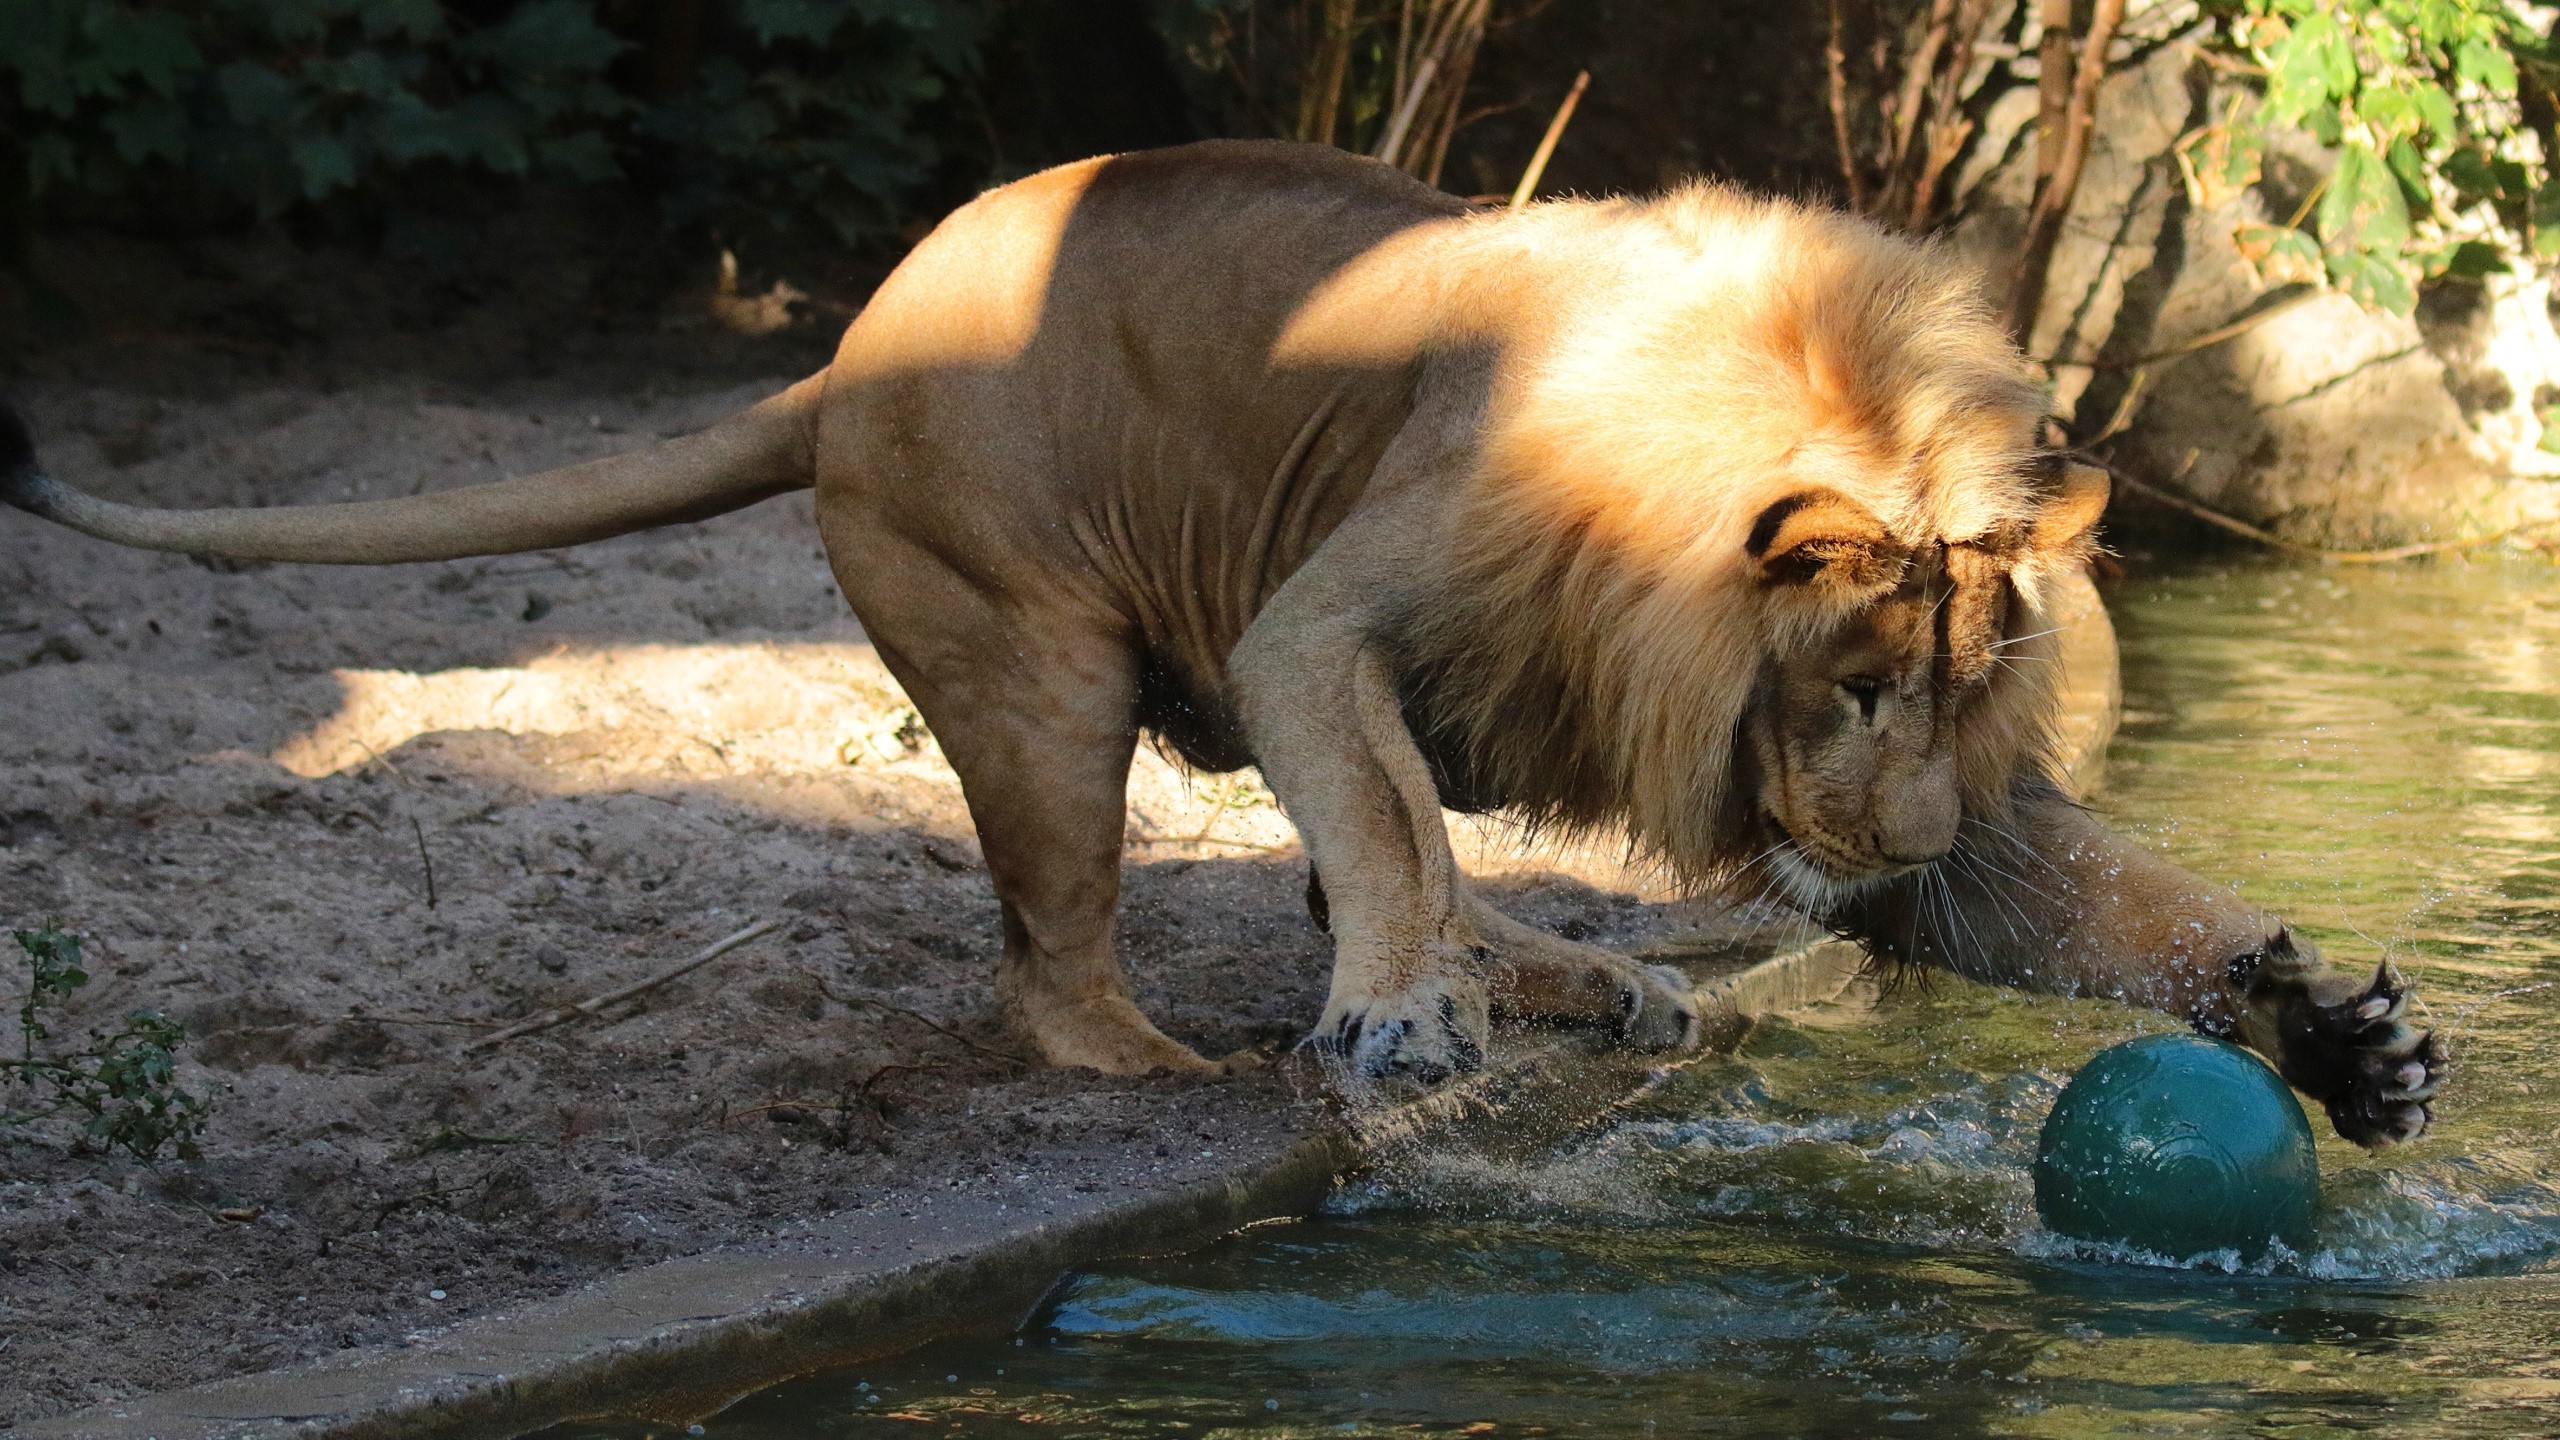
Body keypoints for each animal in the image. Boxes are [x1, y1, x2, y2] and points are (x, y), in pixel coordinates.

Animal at [0, 140, 2439, 1146]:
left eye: (1958, 692)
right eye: (1846, 686)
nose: (1897, 832)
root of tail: (840, 354)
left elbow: (2101, 907)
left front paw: (2328, 1036)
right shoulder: (1321, 619)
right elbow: (1394, 837)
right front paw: (1401, 1026)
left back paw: (1595, 984)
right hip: (1046, 678)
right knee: (1057, 970)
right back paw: (1195, 1069)